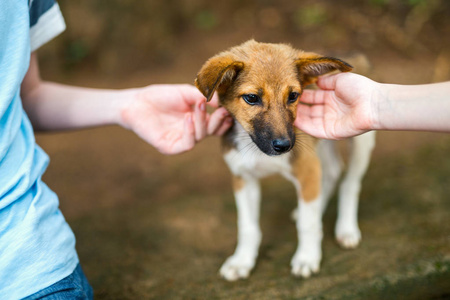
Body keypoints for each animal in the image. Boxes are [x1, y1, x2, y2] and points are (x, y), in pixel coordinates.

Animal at [195, 40, 374, 282]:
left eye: (293, 96)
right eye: (252, 98)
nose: (284, 146)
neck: (257, 150)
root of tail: (349, 51)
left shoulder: (306, 167)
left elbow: (308, 223)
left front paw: (307, 257)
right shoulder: (243, 178)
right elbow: (248, 227)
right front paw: (242, 261)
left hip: (361, 141)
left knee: (350, 182)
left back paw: (346, 228)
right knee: (331, 173)